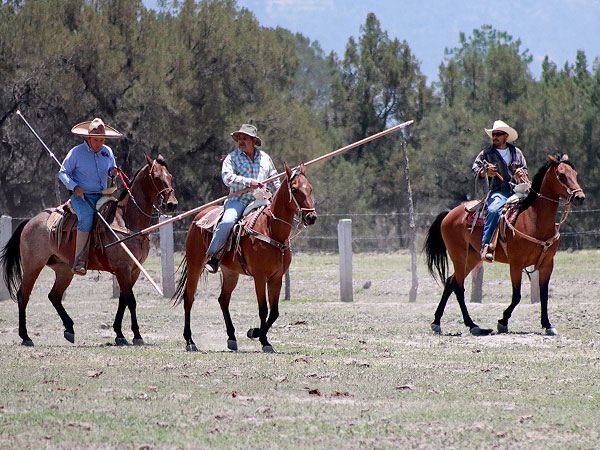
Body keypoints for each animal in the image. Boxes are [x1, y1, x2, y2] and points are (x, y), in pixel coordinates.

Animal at [1, 153, 177, 346]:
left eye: (170, 176)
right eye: (156, 178)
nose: (171, 205)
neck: (126, 219)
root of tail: (31, 220)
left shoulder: (134, 269)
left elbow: (123, 299)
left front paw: (119, 333)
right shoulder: (122, 267)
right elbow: (130, 300)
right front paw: (136, 335)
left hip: (64, 270)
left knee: (54, 296)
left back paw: (69, 329)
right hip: (33, 265)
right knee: (23, 295)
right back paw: (26, 337)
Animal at [173, 163, 316, 354]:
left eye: (310, 189)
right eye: (294, 189)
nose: (311, 217)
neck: (271, 230)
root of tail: (198, 217)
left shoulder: (276, 278)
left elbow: (274, 311)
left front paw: (257, 333)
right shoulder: (259, 277)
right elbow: (263, 309)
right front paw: (262, 339)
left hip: (230, 273)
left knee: (223, 299)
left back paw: (231, 338)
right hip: (194, 265)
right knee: (189, 299)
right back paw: (190, 341)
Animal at [424, 156, 584, 336]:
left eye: (575, 174)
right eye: (562, 175)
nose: (580, 197)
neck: (534, 219)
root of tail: (449, 214)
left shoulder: (547, 264)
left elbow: (544, 295)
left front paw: (548, 325)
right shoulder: (516, 264)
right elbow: (517, 296)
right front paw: (503, 321)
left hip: (472, 257)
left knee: (450, 282)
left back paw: (437, 322)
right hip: (458, 255)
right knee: (458, 287)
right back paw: (473, 325)